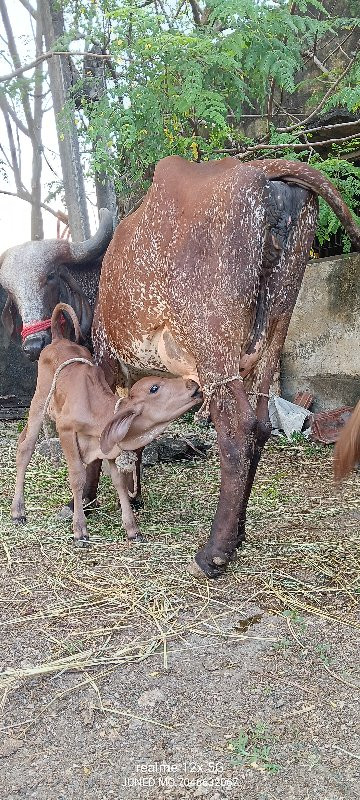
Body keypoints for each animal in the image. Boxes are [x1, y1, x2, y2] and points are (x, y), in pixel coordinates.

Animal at [0, 158, 360, 576]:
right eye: (11, 295)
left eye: (50, 278)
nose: (32, 345)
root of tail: (260, 172)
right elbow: (132, 438)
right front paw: (135, 496)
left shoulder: (107, 362)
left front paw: (84, 503)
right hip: (274, 331)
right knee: (261, 425)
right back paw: (238, 534)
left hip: (213, 346)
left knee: (237, 430)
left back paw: (214, 551)